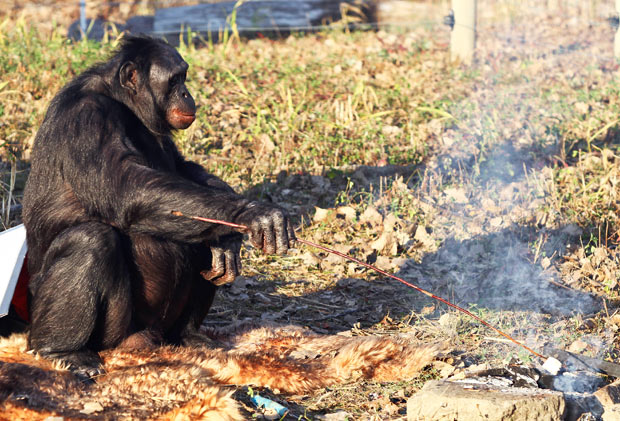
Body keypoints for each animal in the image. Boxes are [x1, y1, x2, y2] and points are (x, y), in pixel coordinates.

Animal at [21, 35, 296, 378]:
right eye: (175, 80)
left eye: (184, 76)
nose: (187, 93)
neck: (124, 104)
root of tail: (145, 340)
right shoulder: (87, 119)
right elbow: (125, 186)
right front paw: (251, 215)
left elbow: (180, 168)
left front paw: (231, 234)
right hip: (111, 334)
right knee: (89, 240)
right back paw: (63, 350)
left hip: (160, 326)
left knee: (197, 231)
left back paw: (190, 335)